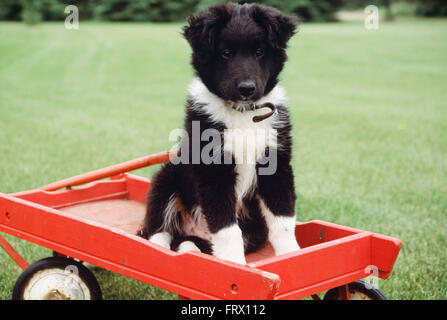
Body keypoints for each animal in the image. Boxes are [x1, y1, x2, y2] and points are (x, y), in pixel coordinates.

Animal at [139, 1, 300, 264]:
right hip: (167, 177)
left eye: (260, 52)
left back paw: (191, 248)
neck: (243, 113)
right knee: (158, 228)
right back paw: (160, 248)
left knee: (191, 240)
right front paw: (233, 265)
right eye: (226, 53)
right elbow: (226, 227)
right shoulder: (213, 171)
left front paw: (293, 255)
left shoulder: (276, 163)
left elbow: (283, 218)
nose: (247, 88)